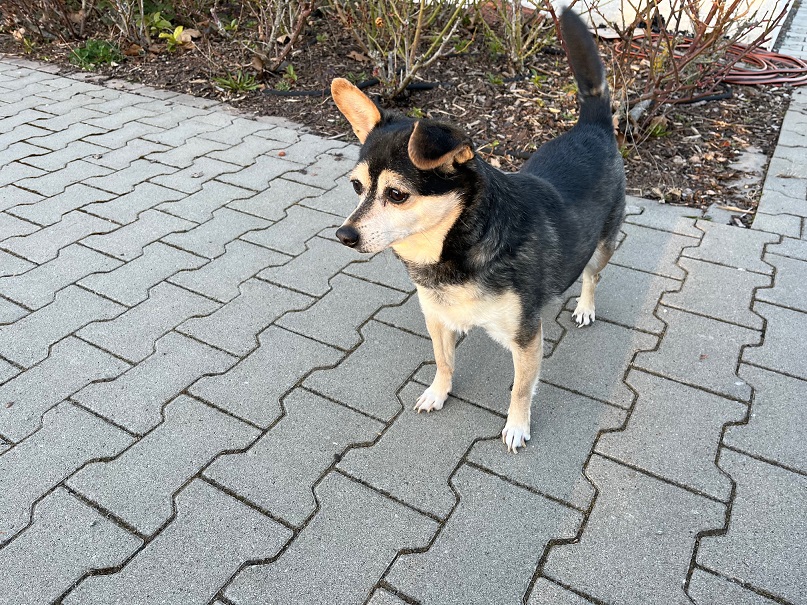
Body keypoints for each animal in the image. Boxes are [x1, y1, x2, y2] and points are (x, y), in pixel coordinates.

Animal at [330, 8, 625, 453]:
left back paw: (585, 306)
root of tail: (592, 127)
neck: (454, 249)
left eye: (397, 194)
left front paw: (517, 425)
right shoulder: (437, 319)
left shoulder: (526, 337)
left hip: (603, 243)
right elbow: (443, 361)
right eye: (356, 186)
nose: (345, 236)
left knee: (593, 274)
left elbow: (521, 389)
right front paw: (438, 392)